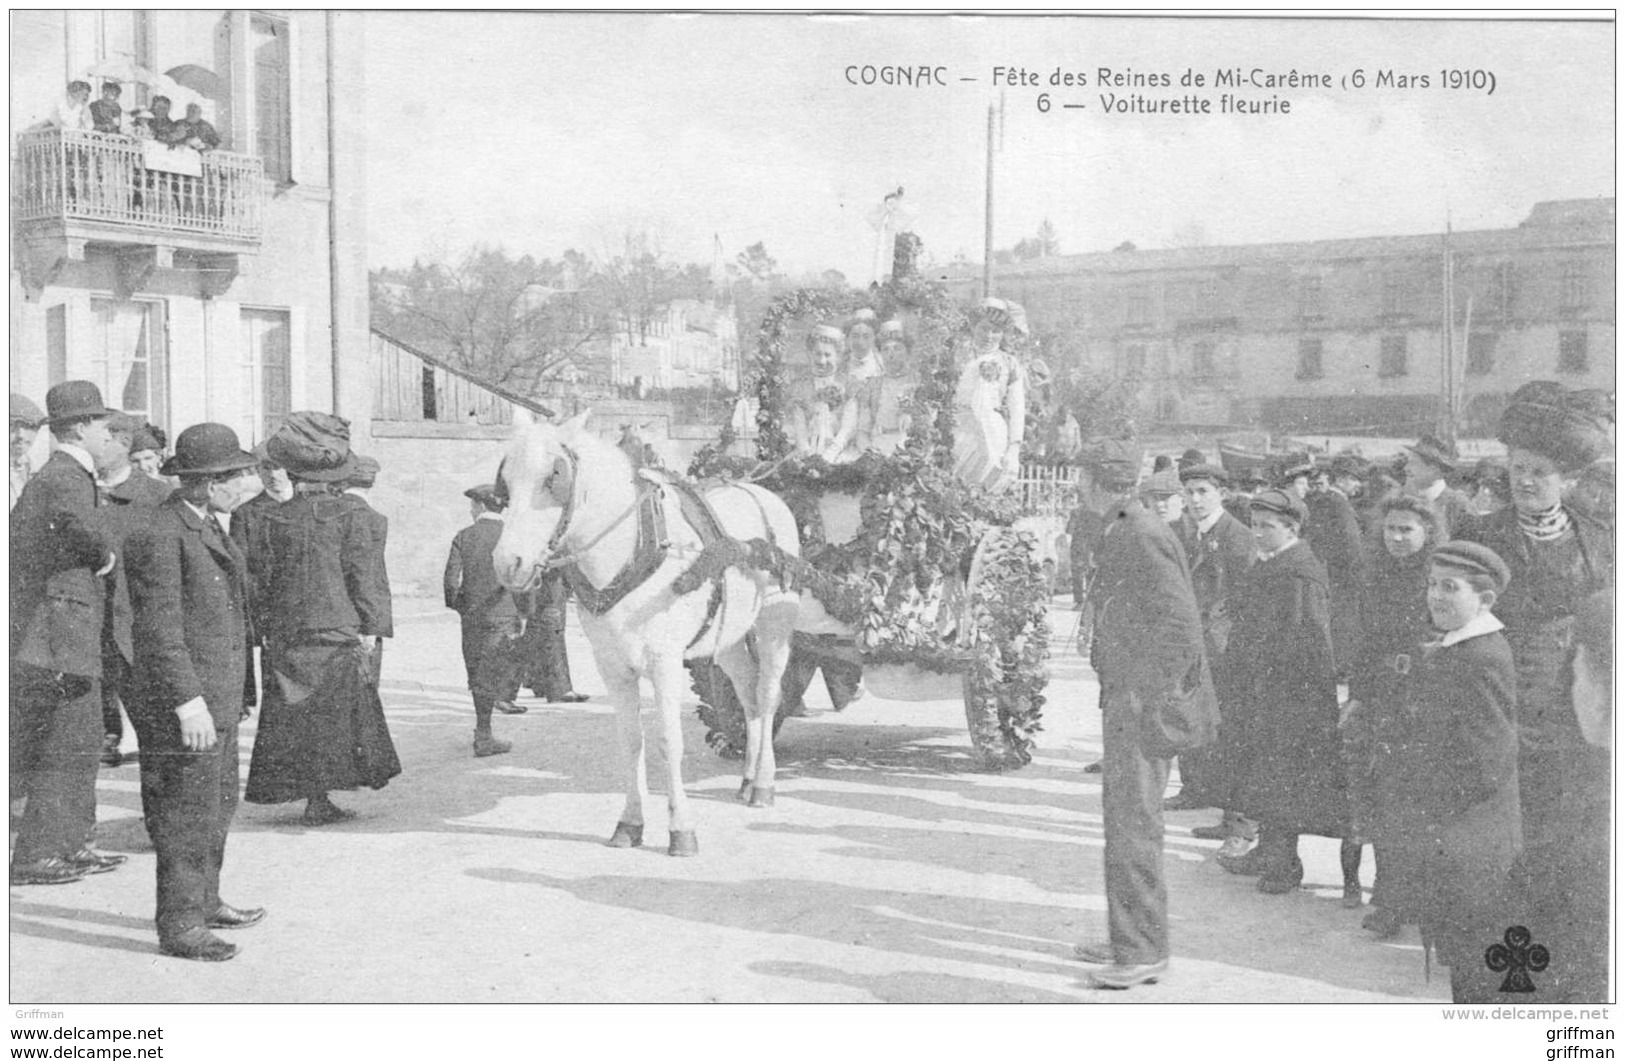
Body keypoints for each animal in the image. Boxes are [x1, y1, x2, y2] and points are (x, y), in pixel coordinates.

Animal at [490, 409, 802, 857]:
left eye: (554, 476)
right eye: (506, 482)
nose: (508, 563)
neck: (633, 549)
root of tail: (763, 492)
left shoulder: (664, 662)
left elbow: (669, 743)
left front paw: (681, 830)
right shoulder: (613, 667)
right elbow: (631, 741)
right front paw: (630, 824)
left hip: (774, 626)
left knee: (767, 695)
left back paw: (762, 783)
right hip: (728, 637)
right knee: (747, 697)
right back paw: (746, 779)